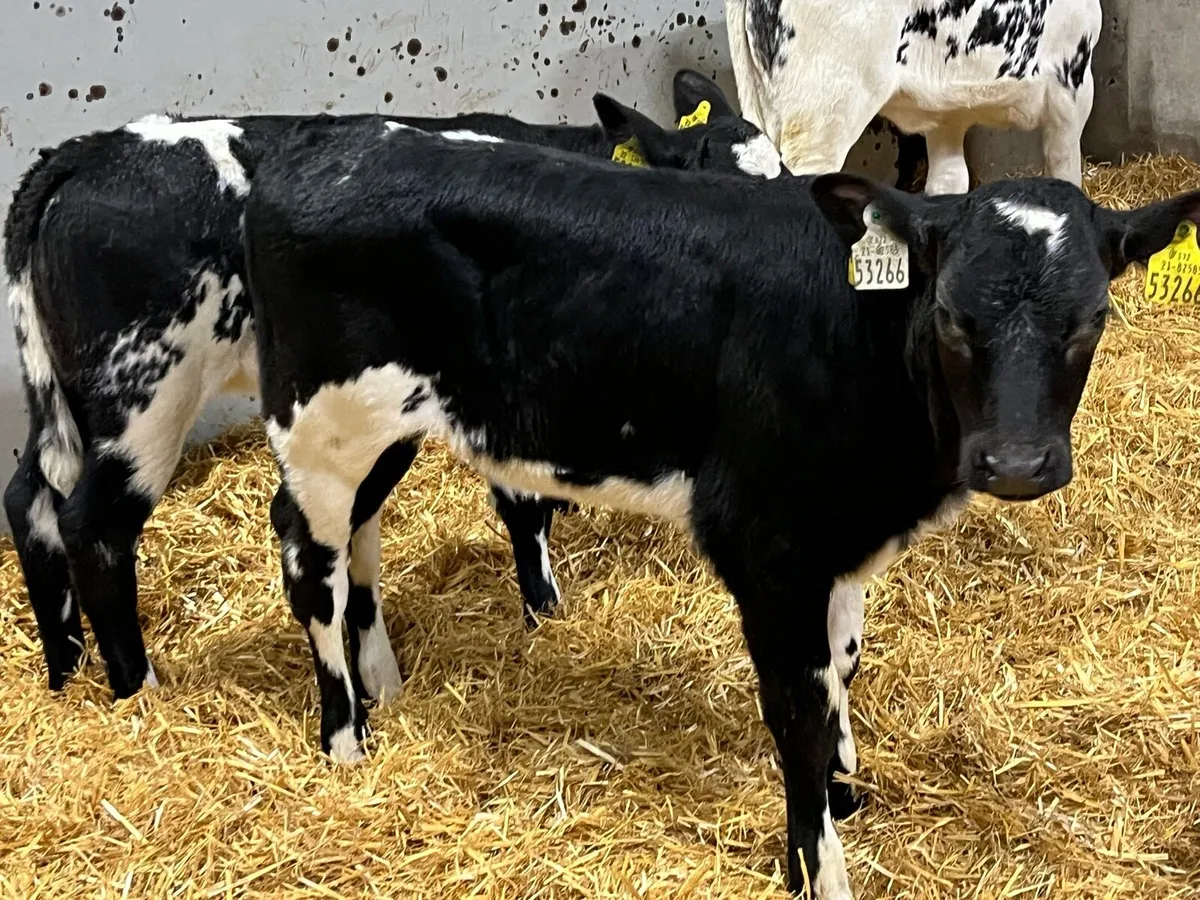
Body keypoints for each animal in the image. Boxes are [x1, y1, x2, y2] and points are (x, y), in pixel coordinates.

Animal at [1, 70, 782, 711]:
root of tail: (87, 150)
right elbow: (523, 508)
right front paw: (545, 612)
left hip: (77, 397)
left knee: (29, 497)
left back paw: (68, 671)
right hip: (145, 391)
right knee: (93, 525)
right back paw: (141, 697)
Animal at [241, 116, 1199, 897]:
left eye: (1093, 318)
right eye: (952, 318)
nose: (1019, 464)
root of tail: (323, 142)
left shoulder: (837, 541)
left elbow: (842, 664)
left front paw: (845, 791)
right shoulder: (767, 544)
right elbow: (797, 710)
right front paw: (819, 867)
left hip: (385, 427)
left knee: (359, 538)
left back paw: (384, 686)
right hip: (318, 425)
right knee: (310, 562)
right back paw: (345, 737)